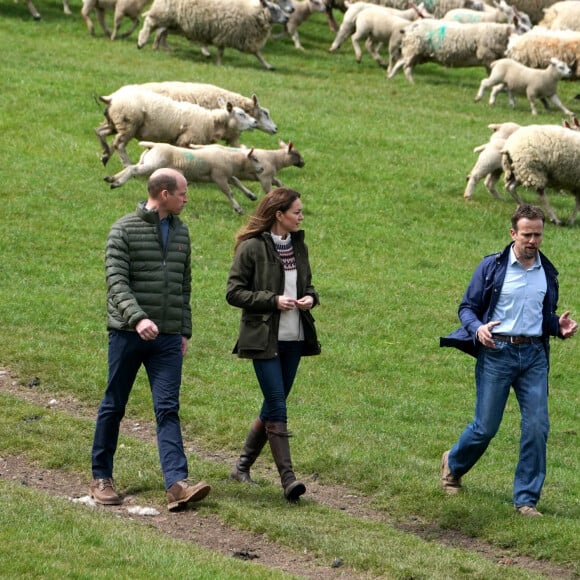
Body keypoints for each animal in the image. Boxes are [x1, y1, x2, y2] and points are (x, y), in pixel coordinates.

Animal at [95, 88, 258, 167]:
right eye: (241, 114)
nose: (255, 122)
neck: (211, 122)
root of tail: (112, 98)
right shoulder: (186, 139)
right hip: (128, 124)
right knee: (119, 144)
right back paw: (126, 164)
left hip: (114, 123)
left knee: (99, 132)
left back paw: (105, 154)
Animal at [105, 142, 264, 214]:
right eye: (255, 159)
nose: (262, 169)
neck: (232, 159)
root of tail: (153, 145)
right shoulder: (218, 176)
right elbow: (229, 191)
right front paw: (238, 208)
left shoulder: (226, 175)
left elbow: (237, 182)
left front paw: (251, 195)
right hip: (152, 165)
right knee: (133, 169)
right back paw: (117, 183)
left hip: (146, 162)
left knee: (130, 167)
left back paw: (112, 179)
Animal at [137, 0, 290, 70]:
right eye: (274, 9)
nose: (288, 18)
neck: (253, 13)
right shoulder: (226, 34)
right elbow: (221, 52)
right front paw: (219, 64)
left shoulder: (244, 38)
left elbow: (257, 53)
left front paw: (268, 66)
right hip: (165, 12)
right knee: (149, 22)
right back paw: (141, 42)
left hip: (173, 21)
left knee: (160, 30)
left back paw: (156, 47)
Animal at [386, 18, 524, 82]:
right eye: (523, 29)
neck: (500, 34)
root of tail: (410, 27)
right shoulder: (486, 55)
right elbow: (491, 74)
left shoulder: (490, 59)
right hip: (413, 49)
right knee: (406, 67)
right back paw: (411, 82)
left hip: (416, 52)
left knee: (401, 63)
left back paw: (391, 77)